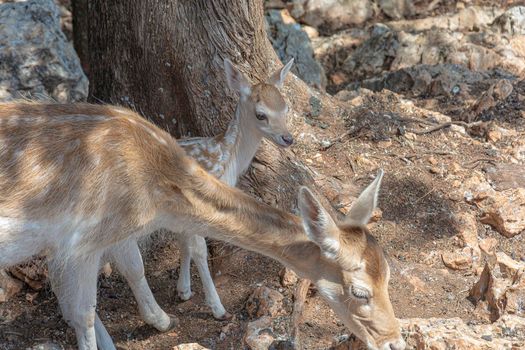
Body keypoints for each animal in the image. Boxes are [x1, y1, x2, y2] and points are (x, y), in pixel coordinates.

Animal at [0, 102, 404, 350]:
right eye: (360, 292)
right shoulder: (81, 240)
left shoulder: (87, 241)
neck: (154, 198)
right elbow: (81, 312)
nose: (395, 340)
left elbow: (101, 288)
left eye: (389, 274)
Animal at [103, 58, 294, 322]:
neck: (226, 158)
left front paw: (184, 290)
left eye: (286, 108)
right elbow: (199, 250)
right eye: (261, 114)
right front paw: (217, 307)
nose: (288, 138)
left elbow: (185, 243)